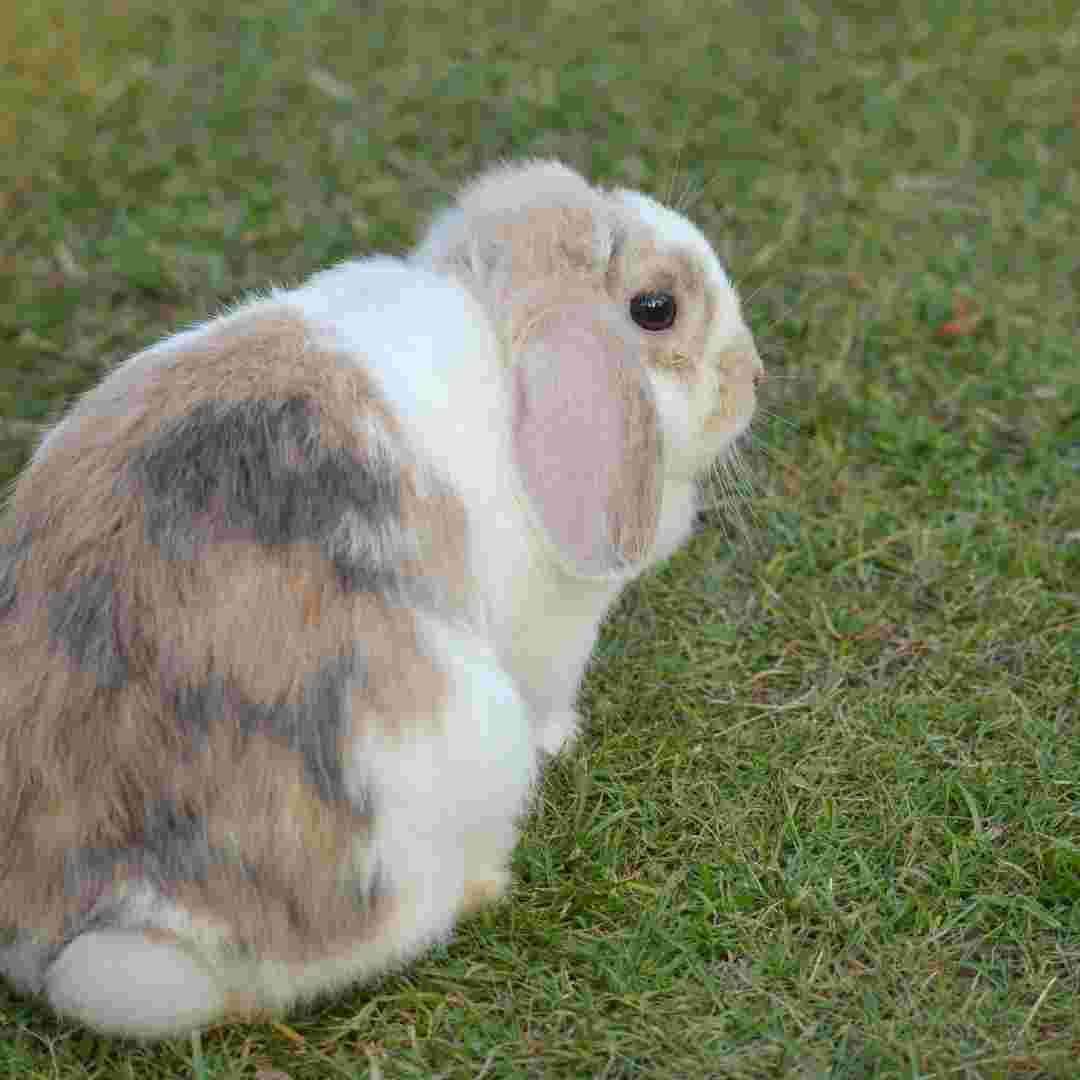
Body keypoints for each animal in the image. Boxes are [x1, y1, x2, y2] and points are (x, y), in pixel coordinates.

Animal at [0, 159, 764, 1036]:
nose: (752, 378)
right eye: (655, 309)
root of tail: (126, 910)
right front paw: (564, 738)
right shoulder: (554, 637)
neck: (499, 333)